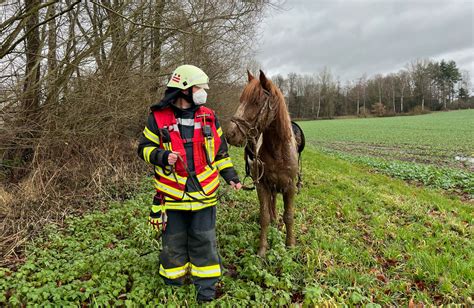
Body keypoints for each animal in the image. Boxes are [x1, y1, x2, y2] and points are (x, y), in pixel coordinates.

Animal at [226, 70, 300, 258]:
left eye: (256, 102)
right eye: (241, 100)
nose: (230, 134)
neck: (278, 151)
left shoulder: (290, 187)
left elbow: (289, 216)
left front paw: (290, 246)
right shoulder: (262, 185)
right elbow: (264, 216)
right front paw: (262, 250)